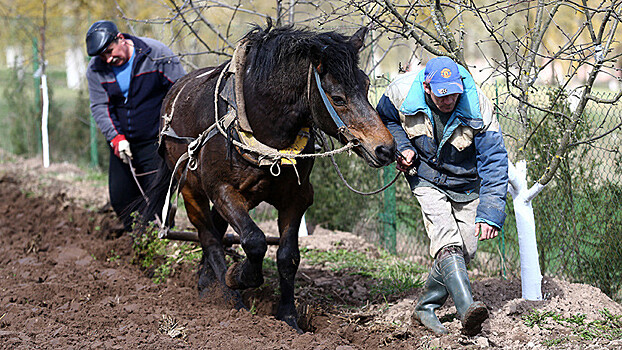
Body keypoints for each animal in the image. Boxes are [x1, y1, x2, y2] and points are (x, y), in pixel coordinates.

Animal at [147, 24, 394, 330]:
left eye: (367, 85)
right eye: (337, 98)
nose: (385, 148)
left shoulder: (297, 198)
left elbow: (288, 257)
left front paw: (289, 318)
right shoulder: (222, 190)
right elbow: (254, 240)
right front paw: (237, 278)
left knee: (216, 230)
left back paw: (206, 280)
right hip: (191, 190)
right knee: (209, 237)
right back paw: (227, 294)